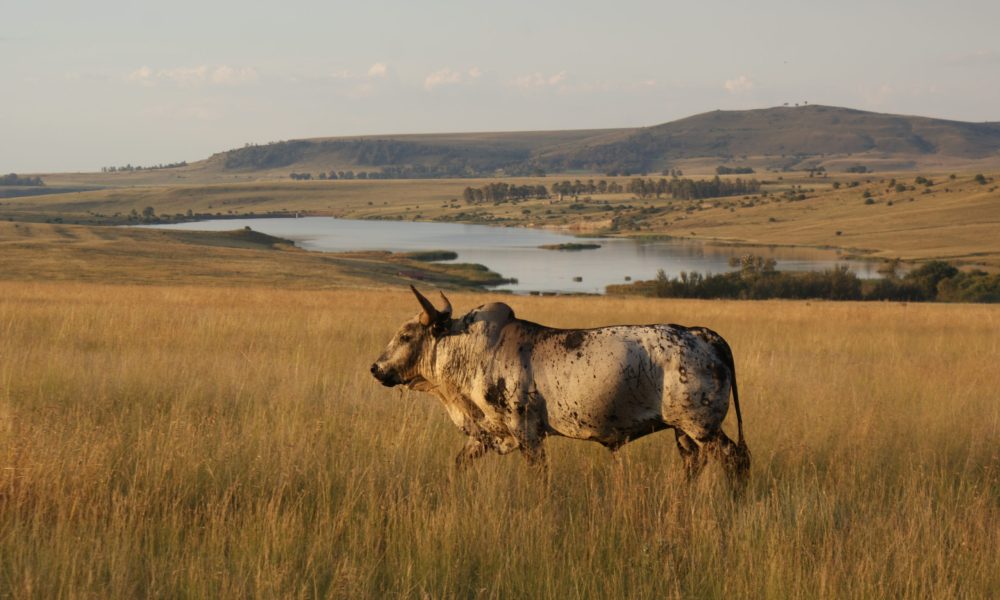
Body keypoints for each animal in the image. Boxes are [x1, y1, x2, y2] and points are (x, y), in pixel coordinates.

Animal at [372, 286, 748, 482]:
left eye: (405, 335)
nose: (376, 368)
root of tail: (701, 334)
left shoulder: (525, 433)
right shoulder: (486, 435)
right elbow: (459, 463)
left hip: (701, 426)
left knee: (736, 458)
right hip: (682, 431)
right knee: (694, 463)